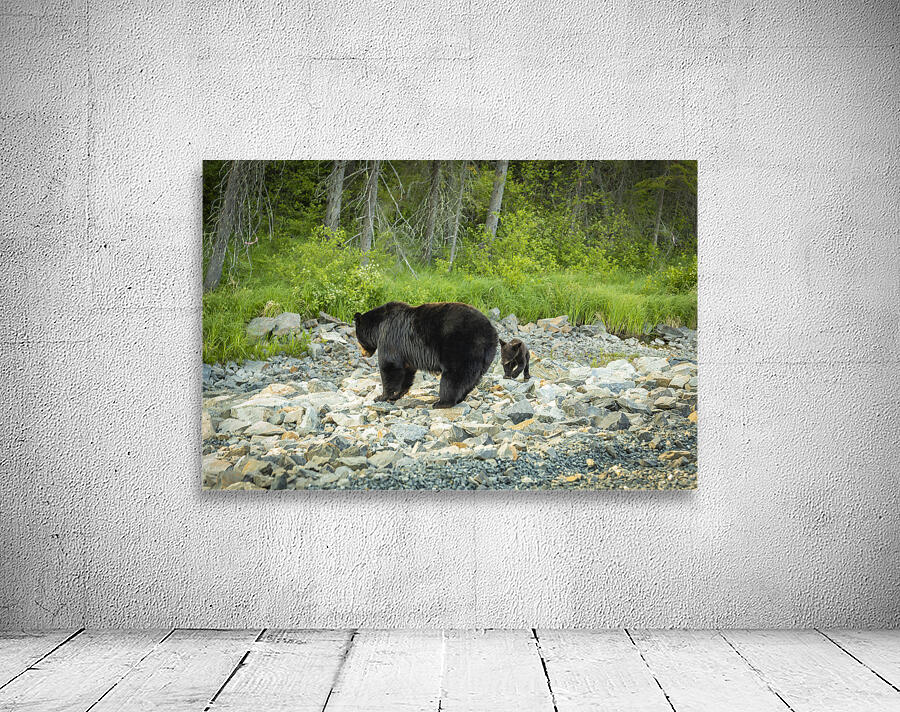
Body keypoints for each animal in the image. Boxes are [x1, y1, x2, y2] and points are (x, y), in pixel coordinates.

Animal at [353, 301, 498, 408]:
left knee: (454, 376)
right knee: (471, 379)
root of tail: (490, 331)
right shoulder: (406, 353)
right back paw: (459, 399)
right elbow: (406, 372)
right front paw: (397, 394)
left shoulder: (390, 338)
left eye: (358, 338)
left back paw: (442, 402)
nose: (363, 354)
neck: (378, 327)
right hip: (484, 357)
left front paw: (381, 396)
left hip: (460, 346)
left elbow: (390, 366)